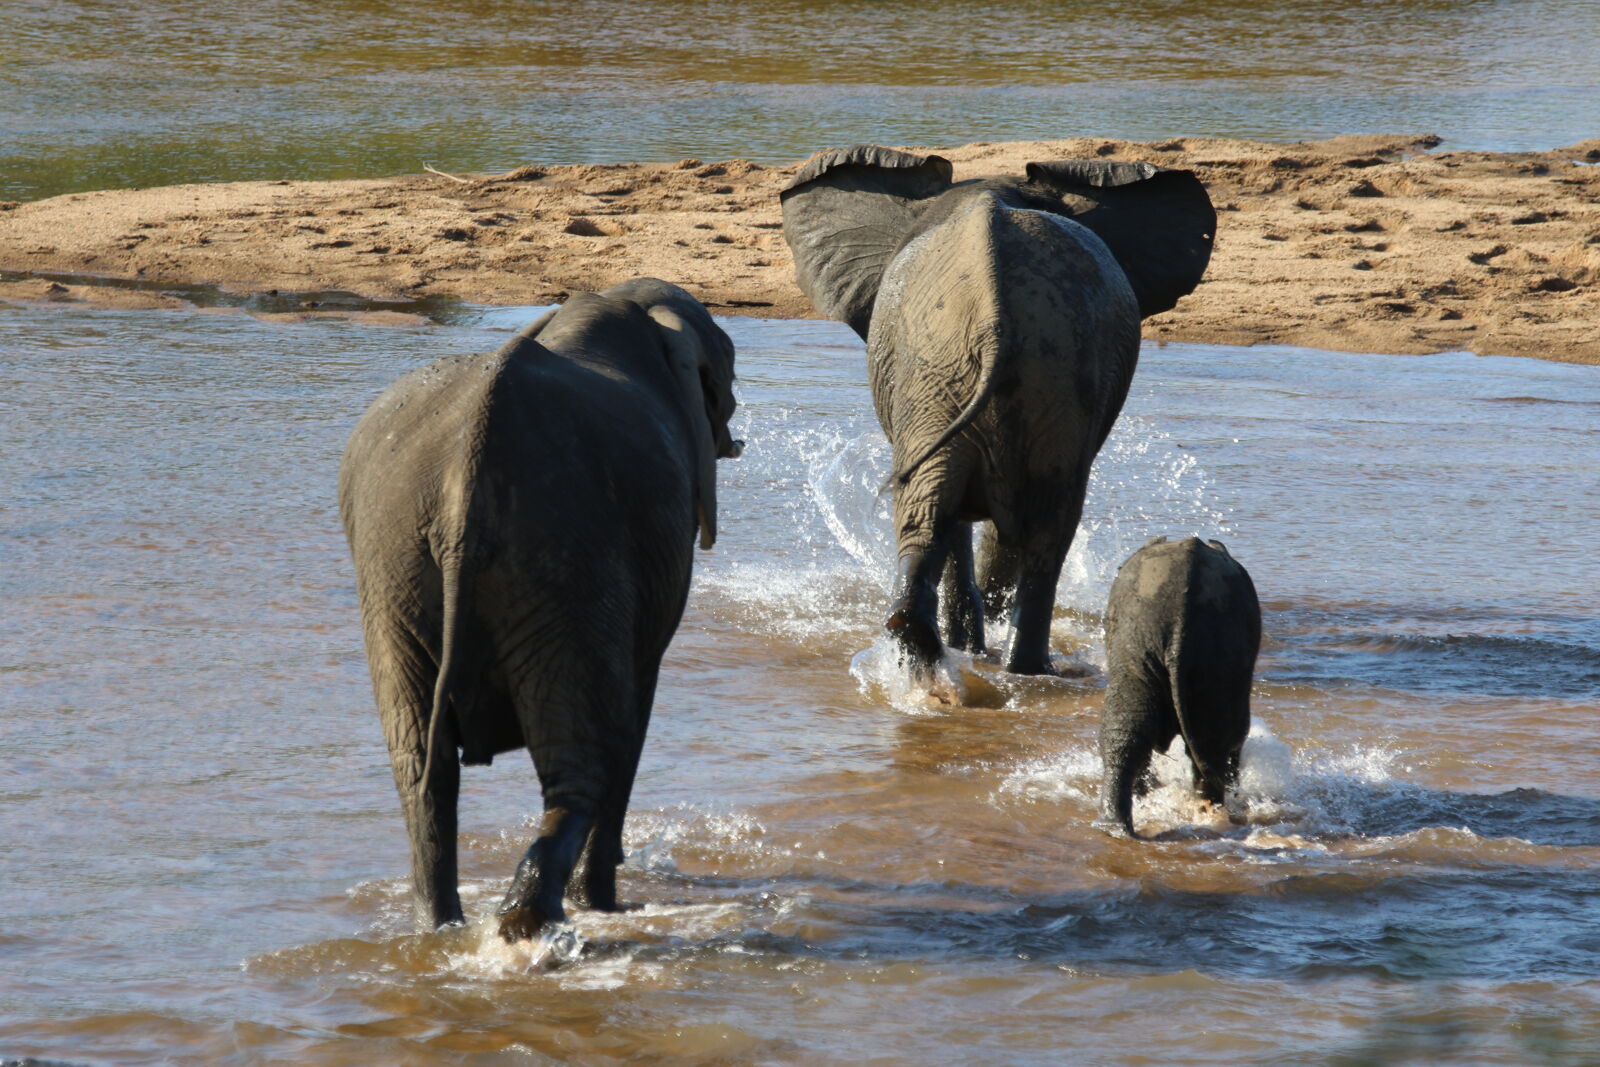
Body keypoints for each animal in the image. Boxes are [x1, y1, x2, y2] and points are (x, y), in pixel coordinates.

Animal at [338, 277, 739, 939]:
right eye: (725, 378)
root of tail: (464, 478)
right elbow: (637, 703)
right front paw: (606, 901)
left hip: (393, 565)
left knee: (421, 766)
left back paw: (444, 929)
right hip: (567, 559)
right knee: (590, 757)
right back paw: (550, 919)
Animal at [780, 145, 1216, 676]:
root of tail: (993, 316)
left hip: (981, 379)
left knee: (964, 514)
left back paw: (983, 660)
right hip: (971, 379)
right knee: (1021, 523)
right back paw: (1009, 665)